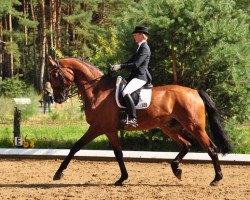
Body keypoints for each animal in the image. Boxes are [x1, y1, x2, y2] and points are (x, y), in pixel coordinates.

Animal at [47, 55, 231, 186]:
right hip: (170, 128)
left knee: (211, 149)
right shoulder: (110, 130)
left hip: (195, 127)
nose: (58, 99)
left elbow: (75, 147)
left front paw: (58, 173)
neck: (97, 91)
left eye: (55, 76)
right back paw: (176, 169)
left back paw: (216, 179)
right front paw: (122, 178)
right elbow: (118, 153)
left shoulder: (97, 127)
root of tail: (194, 91)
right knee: (187, 144)